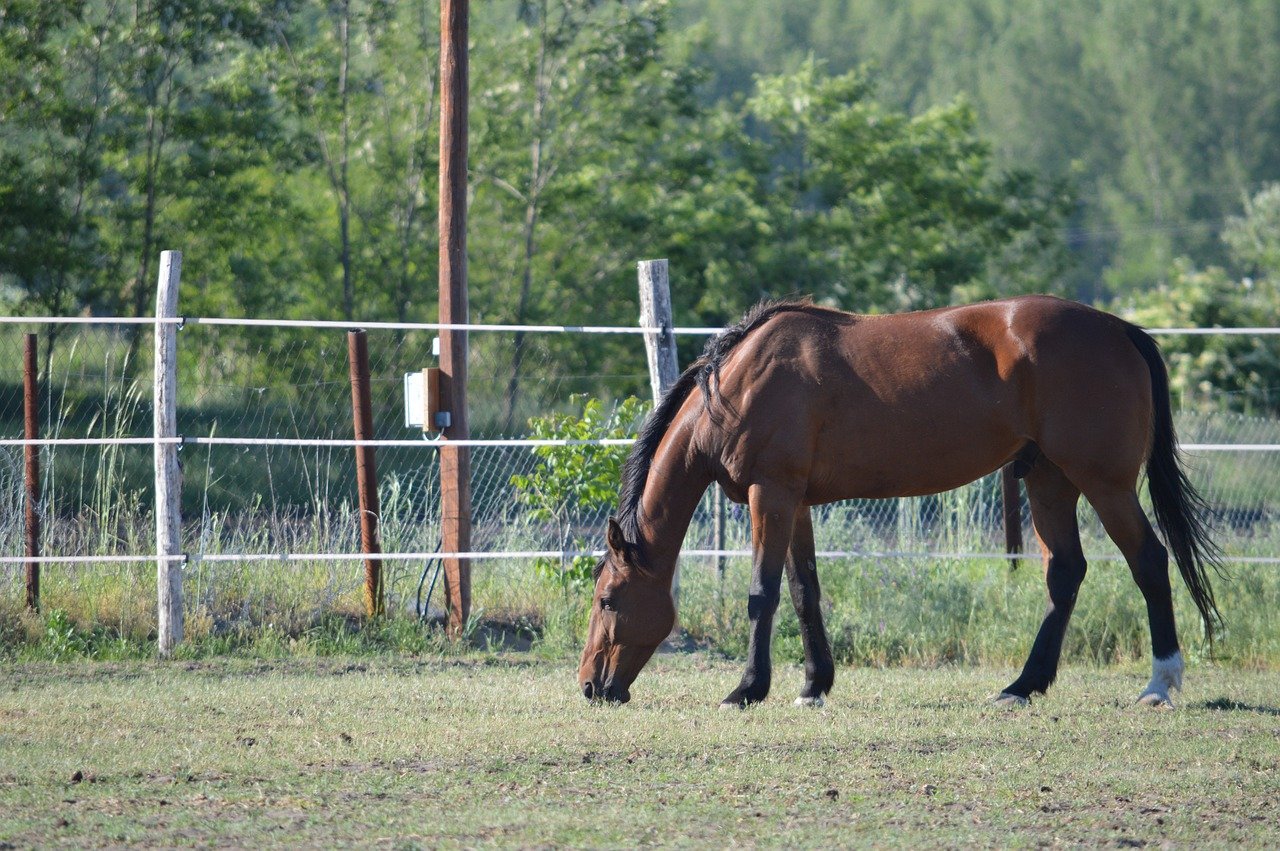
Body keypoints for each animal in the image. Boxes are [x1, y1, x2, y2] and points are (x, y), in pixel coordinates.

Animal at [578, 295, 1218, 706]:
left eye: (608, 598)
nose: (590, 687)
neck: (738, 384)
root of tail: (1119, 329)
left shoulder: (772, 493)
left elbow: (763, 593)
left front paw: (746, 690)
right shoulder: (796, 502)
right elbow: (805, 592)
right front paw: (813, 686)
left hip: (1104, 483)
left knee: (1149, 561)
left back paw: (1160, 684)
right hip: (1049, 479)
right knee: (1065, 573)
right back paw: (1021, 687)